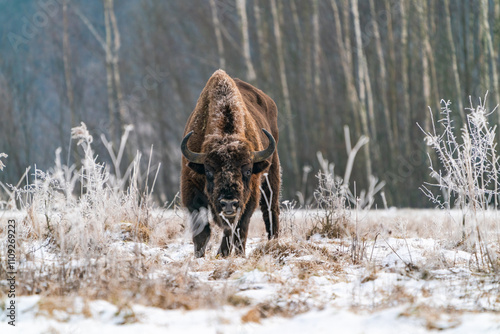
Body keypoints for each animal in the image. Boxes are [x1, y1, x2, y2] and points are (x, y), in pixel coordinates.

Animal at [181, 70, 282, 258]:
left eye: (248, 171)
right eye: (209, 171)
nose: (228, 203)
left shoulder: (249, 198)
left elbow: (238, 228)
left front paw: (229, 254)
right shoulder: (191, 192)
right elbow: (203, 232)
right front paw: (200, 256)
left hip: (271, 176)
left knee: (270, 212)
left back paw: (273, 243)